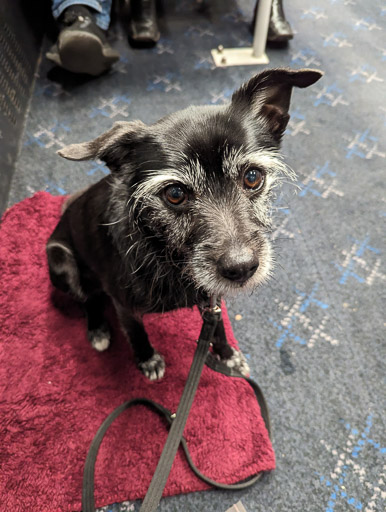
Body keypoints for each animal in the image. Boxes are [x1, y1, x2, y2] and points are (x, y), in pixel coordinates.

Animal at [46, 67, 322, 380]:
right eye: (175, 194)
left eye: (253, 177)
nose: (241, 269)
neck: (164, 253)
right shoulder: (123, 305)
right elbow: (137, 333)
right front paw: (147, 359)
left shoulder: (213, 300)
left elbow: (218, 329)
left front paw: (226, 356)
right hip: (62, 262)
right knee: (87, 299)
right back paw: (98, 330)